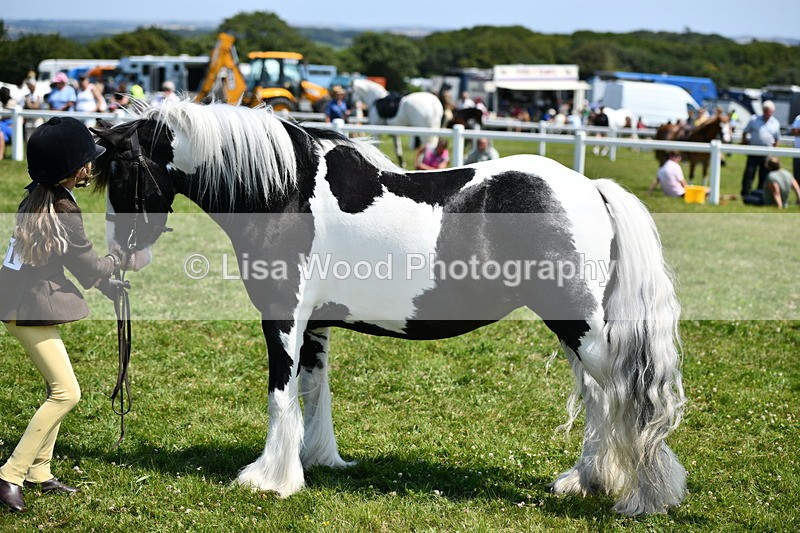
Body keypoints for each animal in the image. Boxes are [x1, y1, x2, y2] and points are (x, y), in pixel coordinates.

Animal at [93, 101, 686, 516]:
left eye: (119, 174)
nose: (122, 254)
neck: (285, 192)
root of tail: (592, 188)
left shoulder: (283, 318)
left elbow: (281, 392)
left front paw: (270, 479)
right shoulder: (315, 326)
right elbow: (315, 390)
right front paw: (316, 460)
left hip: (580, 326)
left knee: (627, 398)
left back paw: (640, 495)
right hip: (575, 330)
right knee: (600, 400)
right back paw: (586, 481)